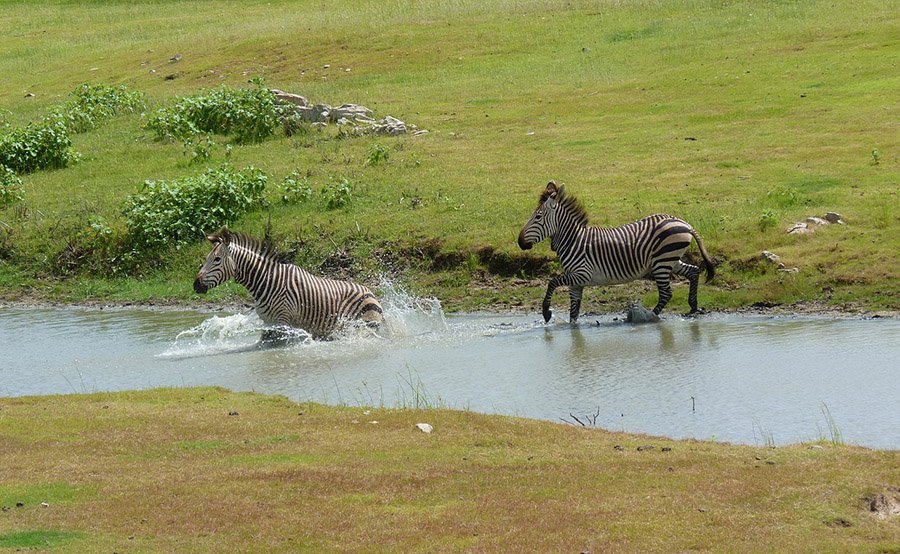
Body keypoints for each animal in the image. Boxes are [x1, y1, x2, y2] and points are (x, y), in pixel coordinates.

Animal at [193, 225, 384, 338]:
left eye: (217, 259)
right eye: (208, 258)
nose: (195, 284)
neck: (267, 281)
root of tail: (370, 292)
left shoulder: (283, 322)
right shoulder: (268, 323)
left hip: (364, 326)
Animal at [516, 181, 712, 322]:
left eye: (538, 217)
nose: (520, 242)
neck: (573, 241)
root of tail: (684, 223)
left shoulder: (582, 274)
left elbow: (552, 282)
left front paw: (546, 312)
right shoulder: (576, 282)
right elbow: (574, 312)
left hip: (662, 263)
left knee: (666, 293)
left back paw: (650, 316)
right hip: (670, 260)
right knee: (693, 272)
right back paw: (693, 306)